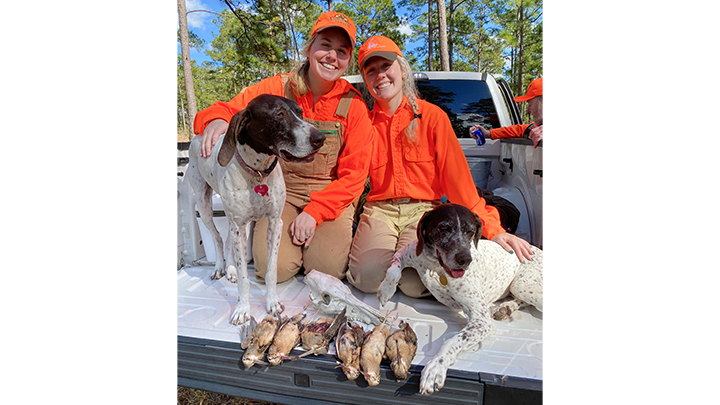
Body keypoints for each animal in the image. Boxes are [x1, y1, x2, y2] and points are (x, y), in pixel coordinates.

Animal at [186, 96, 324, 326]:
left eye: (300, 112)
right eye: (279, 114)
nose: (320, 138)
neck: (258, 173)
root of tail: (198, 136)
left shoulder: (275, 223)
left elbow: (271, 271)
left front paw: (273, 302)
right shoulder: (239, 225)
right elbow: (245, 280)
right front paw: (242, 309)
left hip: (240, 222)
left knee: (228, 241)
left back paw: (231, 270)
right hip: (204, 204)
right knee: (217, 238)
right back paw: (220, 267)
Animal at [376, 204, 540, 392]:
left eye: (470, 231)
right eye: (444, 228)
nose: (465, 259)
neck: (437, 268)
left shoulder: (481, 321)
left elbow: (453, 340)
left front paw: (435, 368)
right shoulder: (406, 253)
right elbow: (393, 270)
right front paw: (386, 290)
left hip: (522, 286)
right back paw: (505, 308)